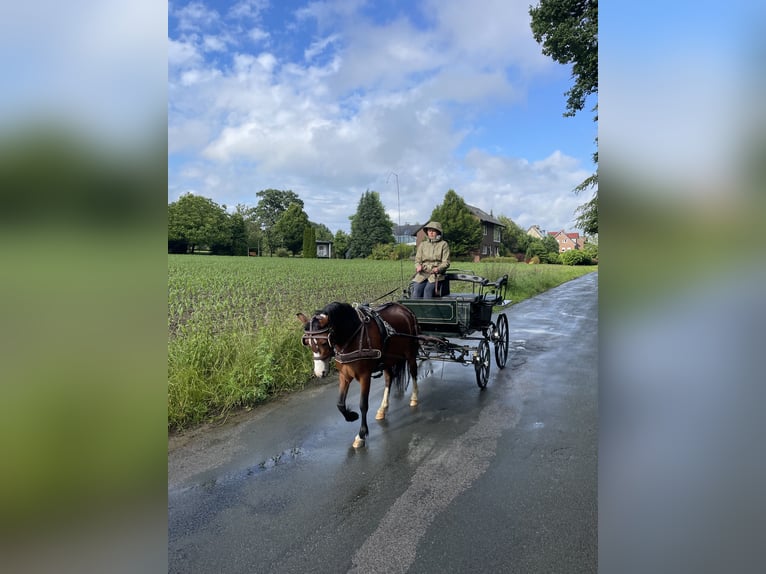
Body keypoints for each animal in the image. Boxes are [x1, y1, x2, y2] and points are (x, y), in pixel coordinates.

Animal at [298, 302, 420, 450]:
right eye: (308, 343)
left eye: (323, 342)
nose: (319, 373)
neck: (352, 338)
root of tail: (404, 308)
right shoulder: (344, 375)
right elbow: (340, 403)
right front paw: (351, 416)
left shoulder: (364, 376)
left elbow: (363, 405)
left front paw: (361, 435)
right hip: (388, 359)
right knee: (388, 379)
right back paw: (382, 408)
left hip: (410, 352)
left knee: (413, 372)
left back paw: (414, 398)